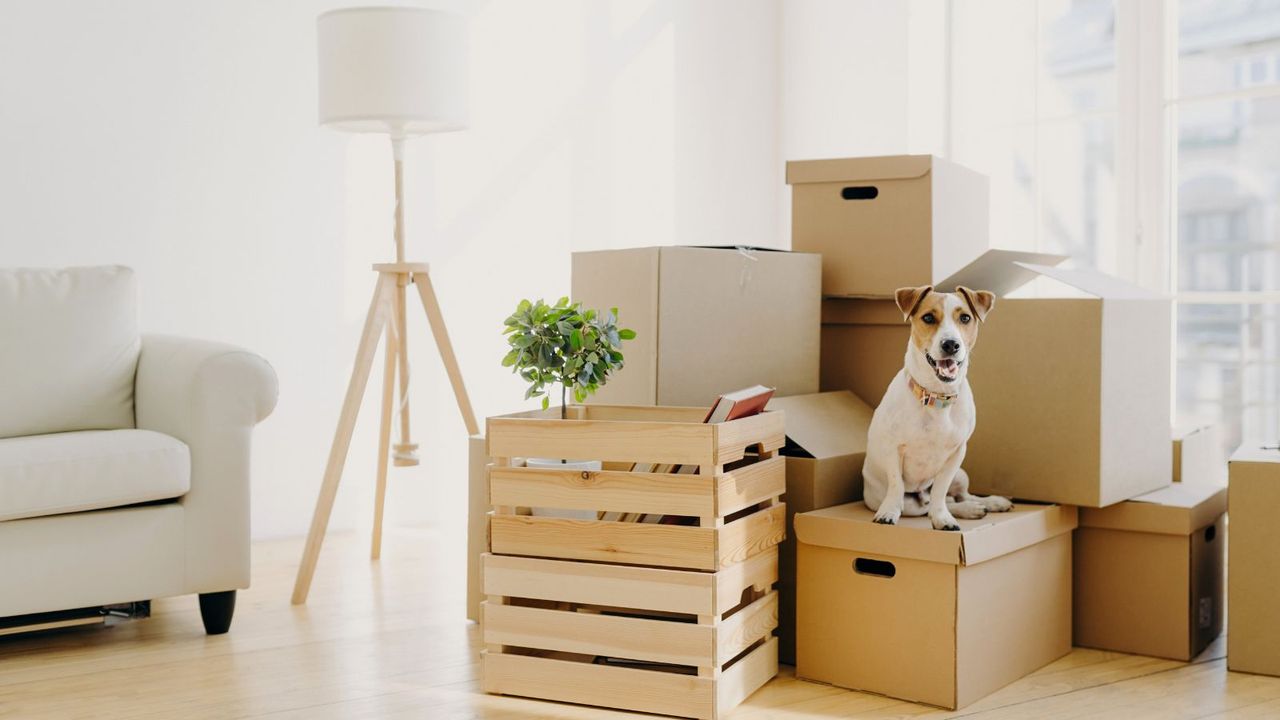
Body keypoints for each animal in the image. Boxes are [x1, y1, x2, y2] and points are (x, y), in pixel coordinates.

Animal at [860, 284, 1008, 527]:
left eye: (965, 318)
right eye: (928, 317)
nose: (951, 344)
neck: (936, 397)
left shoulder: (957, 453)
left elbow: (940, 490)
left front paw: (941, 518)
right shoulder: (893, 448)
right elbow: (896, 484)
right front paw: (888, 512)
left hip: (961, 474)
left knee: (957, 497)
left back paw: (987, 503)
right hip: (909, 503)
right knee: (929, 505)